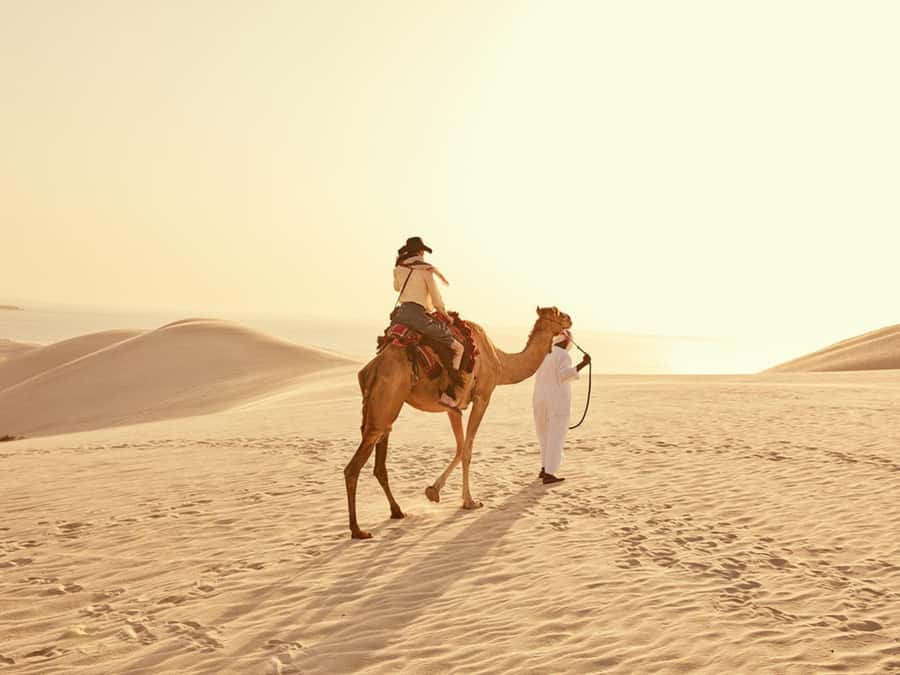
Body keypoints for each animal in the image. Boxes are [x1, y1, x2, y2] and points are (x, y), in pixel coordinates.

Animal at [344, 306, 573, 539]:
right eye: (558, 314)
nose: (570, 319)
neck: (500, 362)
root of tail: (371, 370)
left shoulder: (453, 409)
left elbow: (460, 447)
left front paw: (433, 491)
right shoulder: (482, 398)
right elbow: (467, 450)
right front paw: (469, 501)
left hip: (382, 411)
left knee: (379, 464)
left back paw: (397, 512)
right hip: (385, 404)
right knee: (353, 468)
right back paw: (358, 530)